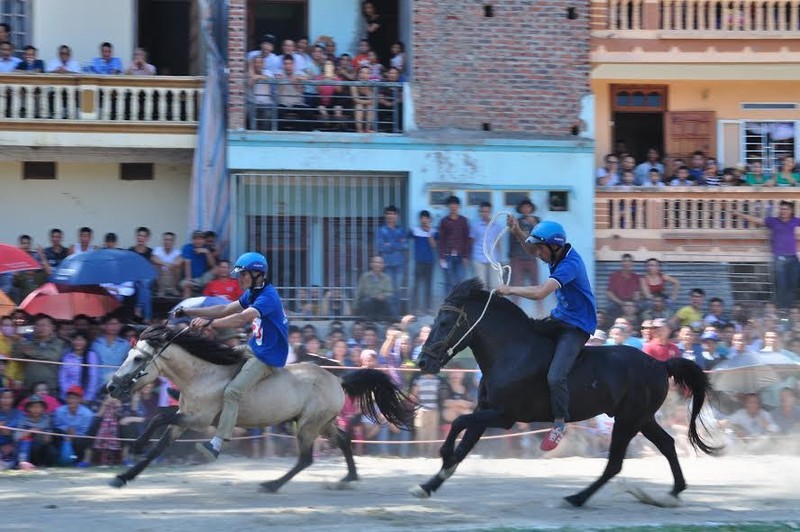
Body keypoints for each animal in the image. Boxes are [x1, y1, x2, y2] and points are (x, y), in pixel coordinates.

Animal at [105, 326, 412, 492]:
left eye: (138, 358)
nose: (110, 387)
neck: (203, 374)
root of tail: (338, 379)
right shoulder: (183, 421)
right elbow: (158, 447)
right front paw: (122, 477)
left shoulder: (199, 419)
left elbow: (159, 415)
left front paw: (135, 446)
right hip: (321, 423)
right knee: (345, 440)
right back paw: (348, 477)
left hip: (309, 426)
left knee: (305, 459)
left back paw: (272, 484)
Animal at [412, 278, 720, 508]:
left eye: (444, 322)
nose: (423, 362)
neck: (511, 352)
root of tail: (660, 364)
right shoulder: (485, 411)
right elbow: (463, 442)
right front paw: (428, 485)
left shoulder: (503, 415)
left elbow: (457, 423)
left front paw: (444, 456)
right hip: (641, 418)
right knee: (667, 444)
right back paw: (673, 492)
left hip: (628, 420)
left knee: (615, 463)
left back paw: (576, 497)